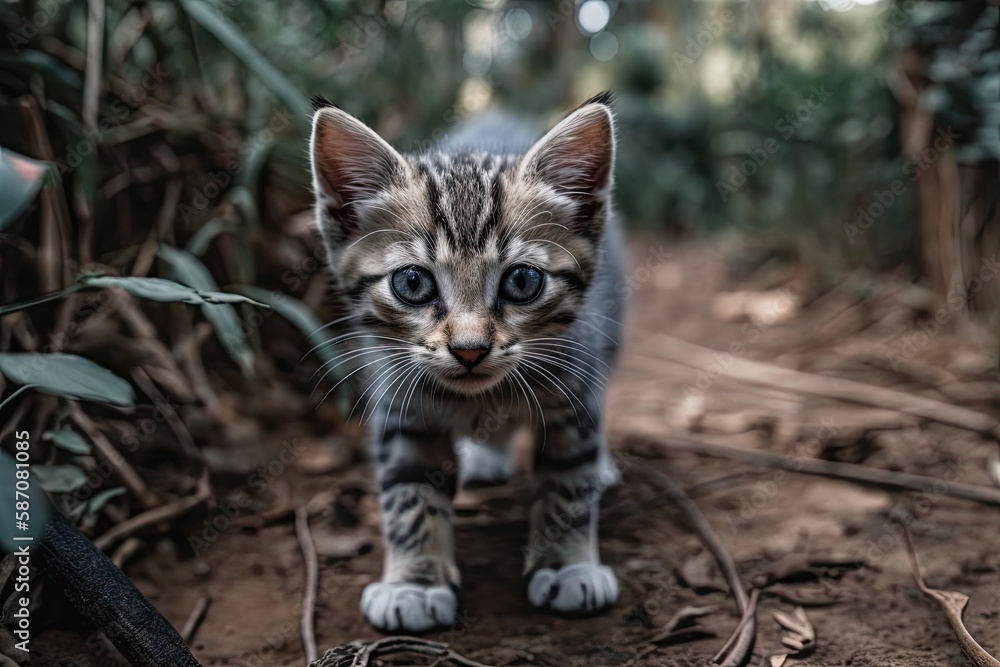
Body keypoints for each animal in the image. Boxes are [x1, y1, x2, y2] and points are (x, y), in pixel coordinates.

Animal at [312, 92, 624, 632]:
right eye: (412, 283)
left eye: (522, 281)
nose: (470, 348)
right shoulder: (402, 407)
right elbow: (408, 494)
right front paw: (414, 584)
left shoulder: (573, 387)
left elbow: (568, 480)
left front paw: (568, 566)